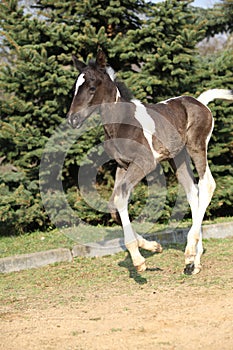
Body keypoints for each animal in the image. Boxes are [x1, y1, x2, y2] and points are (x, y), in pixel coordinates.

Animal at [67, 50, 233, 274]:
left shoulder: (144, 163)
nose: (72, 120)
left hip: (197, 147)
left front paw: (138, 259)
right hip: (177, 158)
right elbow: (114, 206)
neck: (122, 122)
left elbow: (121, 197)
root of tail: (200, 103)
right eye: (75, 88)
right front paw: (153, 246)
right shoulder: (122, 165)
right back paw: (193, 262)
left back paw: (190, 250)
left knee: (207, 184)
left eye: (92, 87)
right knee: (192, 192)